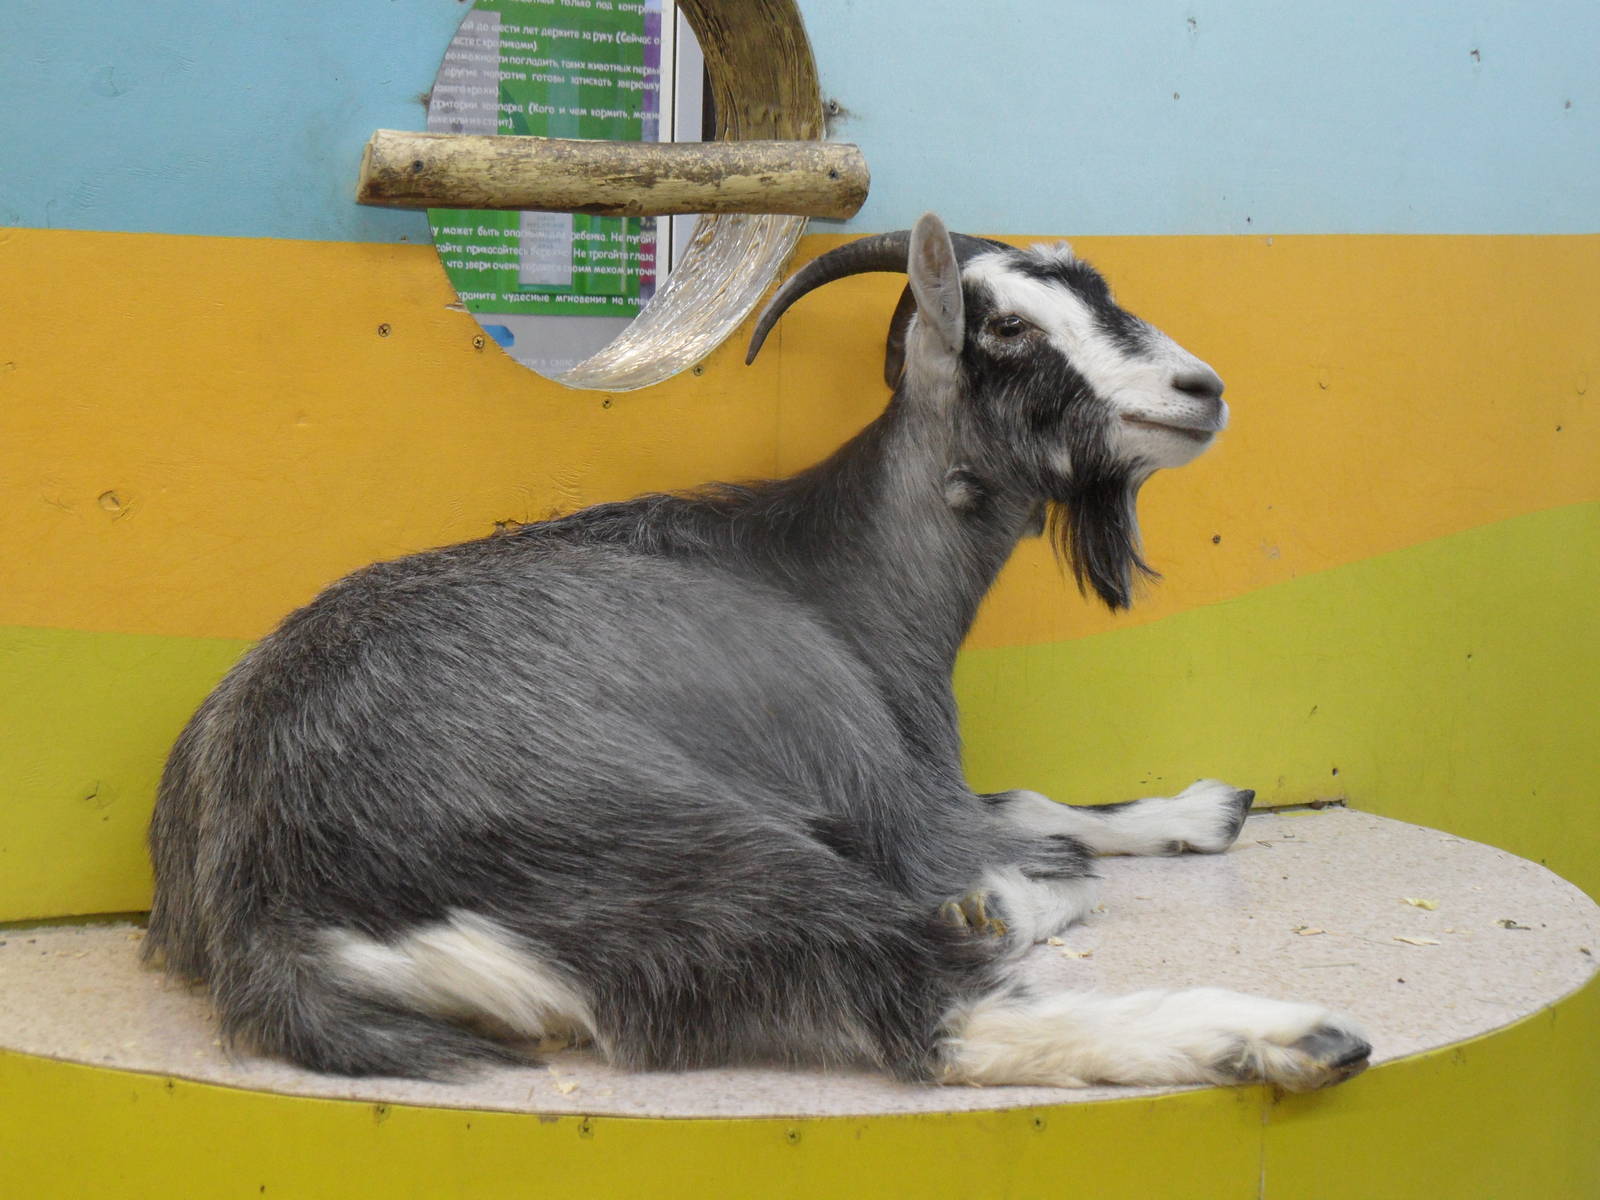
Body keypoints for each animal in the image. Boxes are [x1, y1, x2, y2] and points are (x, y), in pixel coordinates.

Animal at [144, 213, 1370, 1092]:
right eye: (1008, 328)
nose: (1197, 391)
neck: (830, 572)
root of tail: (270, 919)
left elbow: (1032, 799)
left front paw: (1201, 807)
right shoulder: (893, 792)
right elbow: (1037, 851)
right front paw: (1011, 892)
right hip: (684, 854)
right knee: (928, 1009)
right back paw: (1289, 1034)